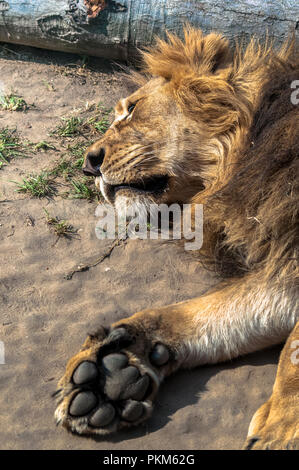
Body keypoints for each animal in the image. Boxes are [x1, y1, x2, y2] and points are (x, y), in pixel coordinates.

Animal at [53, 27, 298, 450]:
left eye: (132, 108)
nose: (88, 164)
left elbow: (293, 353)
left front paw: (281, 430)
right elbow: (215, 311)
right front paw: (115, 364)